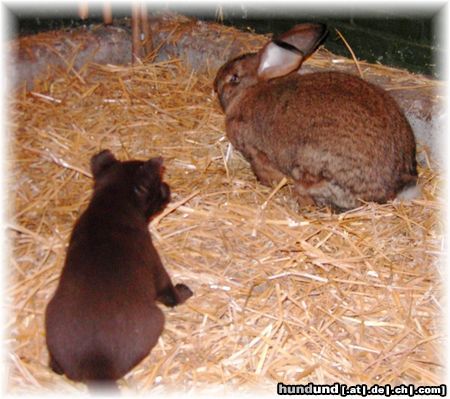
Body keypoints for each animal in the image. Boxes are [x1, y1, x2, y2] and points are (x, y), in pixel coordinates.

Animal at [44, 151, 192, 394]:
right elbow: (169, 292)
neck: (111, 203)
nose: (168, 187)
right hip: (156, 320)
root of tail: (96, 366)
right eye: (158, 184)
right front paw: (183, 292)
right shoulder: (155, 265)